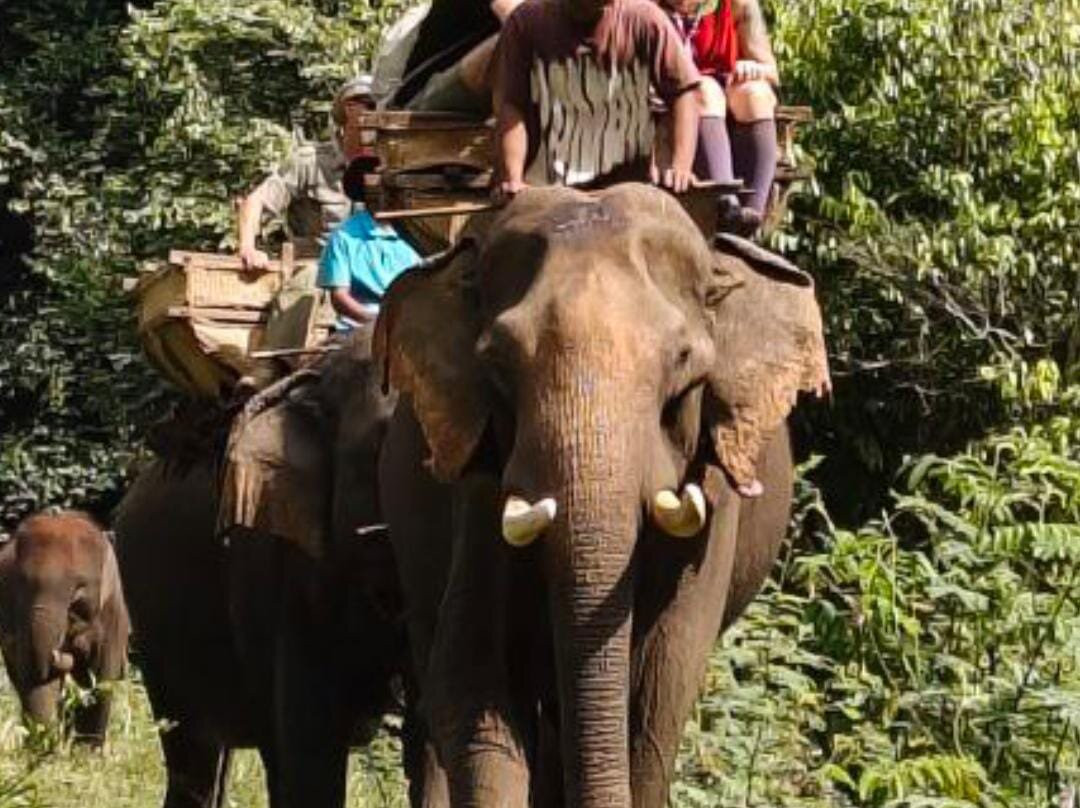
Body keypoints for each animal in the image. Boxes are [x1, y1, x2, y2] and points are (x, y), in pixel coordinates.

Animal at [0, 510, 129, 745]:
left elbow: (101, 678)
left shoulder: (110, 612)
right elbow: (37, 679)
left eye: (79, 588)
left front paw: (84, 753)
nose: (63, 650)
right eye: (22, 583)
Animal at [375, 183, 829, 808]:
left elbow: (657, 690)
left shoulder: (714, 498)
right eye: (498, 363)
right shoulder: (477, 484)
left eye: (683, 361)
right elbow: (474, 681)